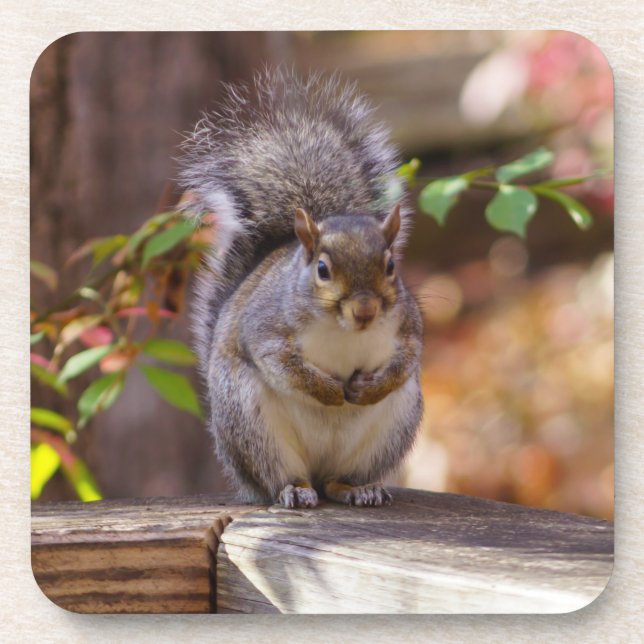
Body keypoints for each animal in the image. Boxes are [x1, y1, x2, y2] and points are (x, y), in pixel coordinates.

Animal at [179, 69, 423, 508]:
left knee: (337, 481)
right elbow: (282, 363)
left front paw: (368, 388)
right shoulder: (265, 327)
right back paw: (294, 490)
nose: (365, 310)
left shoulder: (408, 326)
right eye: (322, 269)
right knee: (282, 478)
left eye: (391, 266)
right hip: (251, 424)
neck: (344, 330)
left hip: (391, 429)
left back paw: (358, 489)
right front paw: (330, 392)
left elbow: (407, 360)